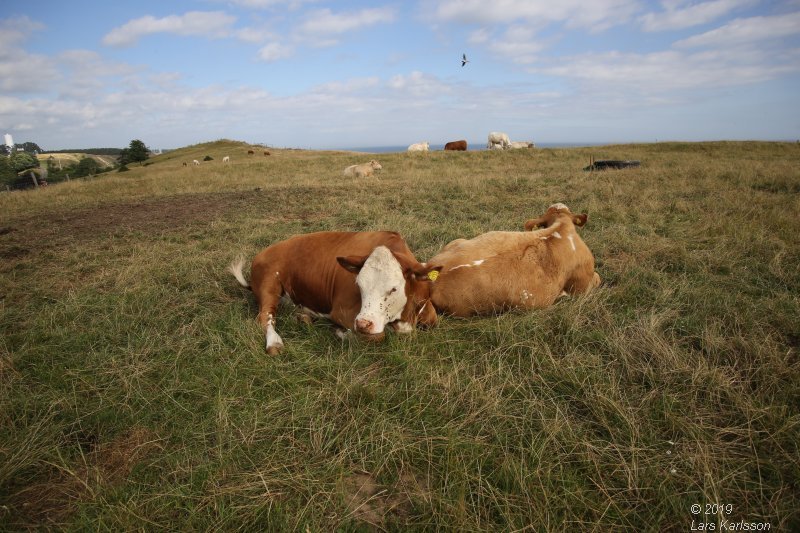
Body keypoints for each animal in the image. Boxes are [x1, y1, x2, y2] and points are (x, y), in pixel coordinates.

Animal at [230, 230, 444, 352]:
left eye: (393, 288)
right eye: (359, 285)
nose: (363, 323)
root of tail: (264, 251)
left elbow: (432, 320)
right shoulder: (342, 311)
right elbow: (379, 336)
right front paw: (342, 333)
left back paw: (304, 318)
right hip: (269, 283)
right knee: (265, 316)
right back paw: (274, 343)